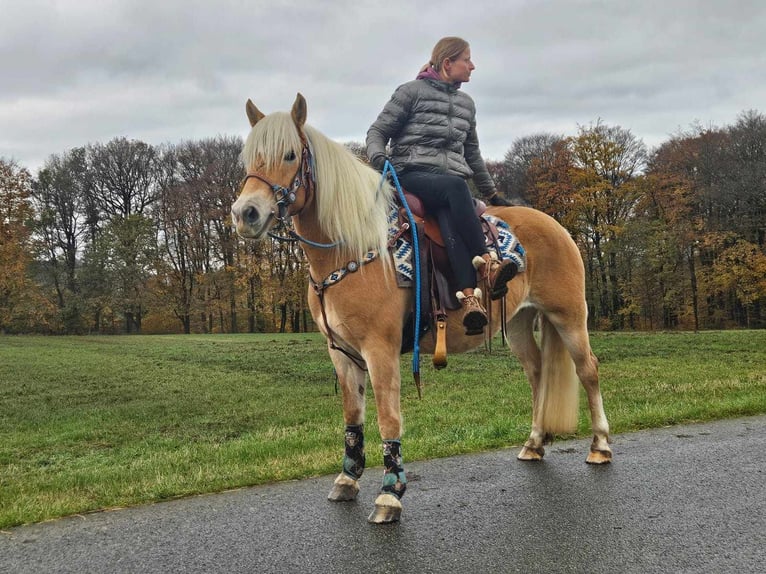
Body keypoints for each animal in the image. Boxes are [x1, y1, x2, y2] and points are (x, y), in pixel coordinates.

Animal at [231, 94, 616, 528]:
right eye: (249, 157)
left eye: (290, 154)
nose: (245, 213)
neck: (354, 248)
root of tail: (556, 225)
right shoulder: (342, 353)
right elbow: (353, 417)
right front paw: (347, 479)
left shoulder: (380, 350)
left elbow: (388, 417)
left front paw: (390, 493)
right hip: (517, 325)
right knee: (537, 374)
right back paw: (534, 443)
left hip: (569, 316)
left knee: (588, 370)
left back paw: (600, 445)